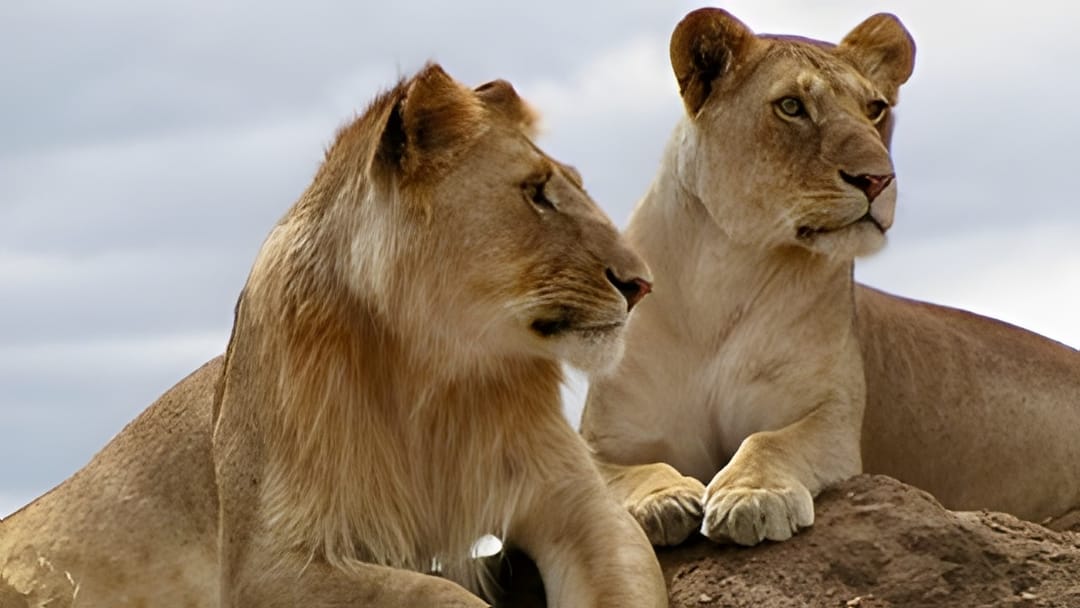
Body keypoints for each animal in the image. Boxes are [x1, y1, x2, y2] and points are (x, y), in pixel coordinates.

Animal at [0, 64, 667, 607]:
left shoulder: (583, 511)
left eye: (574, 185)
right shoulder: (264, 567)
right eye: (537, 193)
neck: (437, 370)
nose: (641, 285)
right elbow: (440, 595)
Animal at [582, 8, 1080, 548]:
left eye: (875, 108)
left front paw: (752, 497)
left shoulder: (828, 417)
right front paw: (664, 501)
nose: (877, 180)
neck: (725, 270)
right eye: (792, 106)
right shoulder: (602, 439)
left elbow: (770, 442)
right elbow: (627, 471)